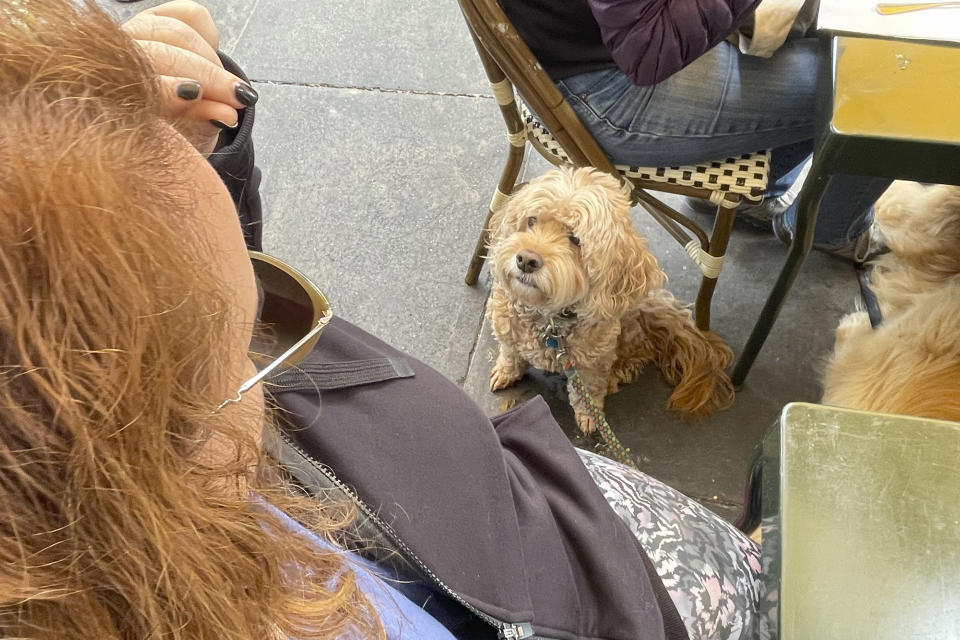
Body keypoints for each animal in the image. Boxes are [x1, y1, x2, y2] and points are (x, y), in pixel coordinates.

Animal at [488, 168, 736, 432]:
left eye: (575, 239)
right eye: (532, 221)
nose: (526, 260)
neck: (548, 318)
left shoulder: (593, 363)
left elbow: (589, 390)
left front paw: (590, 415)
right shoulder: (506, 329)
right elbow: (510, 354)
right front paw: (506, 372)